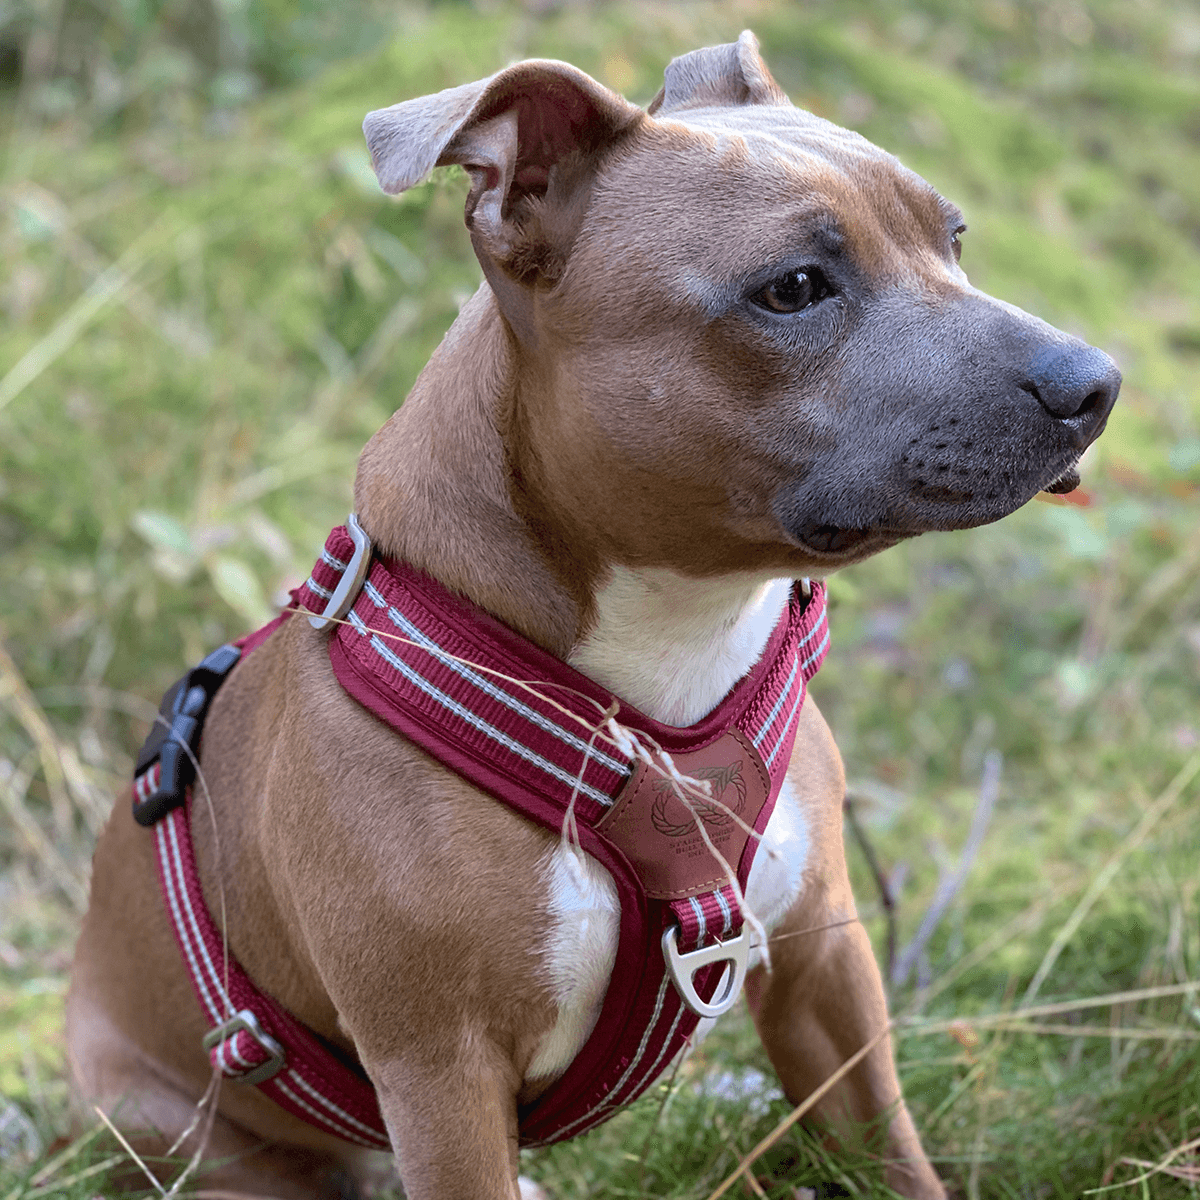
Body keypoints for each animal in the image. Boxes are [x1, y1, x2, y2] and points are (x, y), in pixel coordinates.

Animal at [65, 28, 1113, 1200]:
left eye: (954, 237)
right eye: (793, 288)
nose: (1094, 383)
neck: (669, 668)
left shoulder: (826, 969)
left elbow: (891, 1150)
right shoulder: (443, 1074)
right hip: (187, 1131)